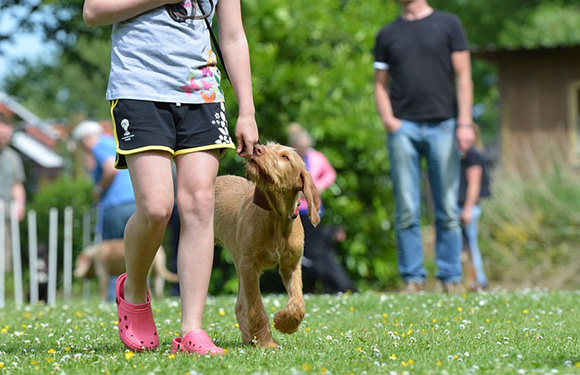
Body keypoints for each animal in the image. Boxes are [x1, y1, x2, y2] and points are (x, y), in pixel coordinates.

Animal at [214, 142, 322, 348]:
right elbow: (257, 308)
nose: (256, 148)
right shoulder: (249, 267)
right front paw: (266, 342)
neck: (276, 218)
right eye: (267, 146)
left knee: (240, 305)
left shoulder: (291, 266)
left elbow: (298, 304)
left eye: (285, 157)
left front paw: (284, 323)